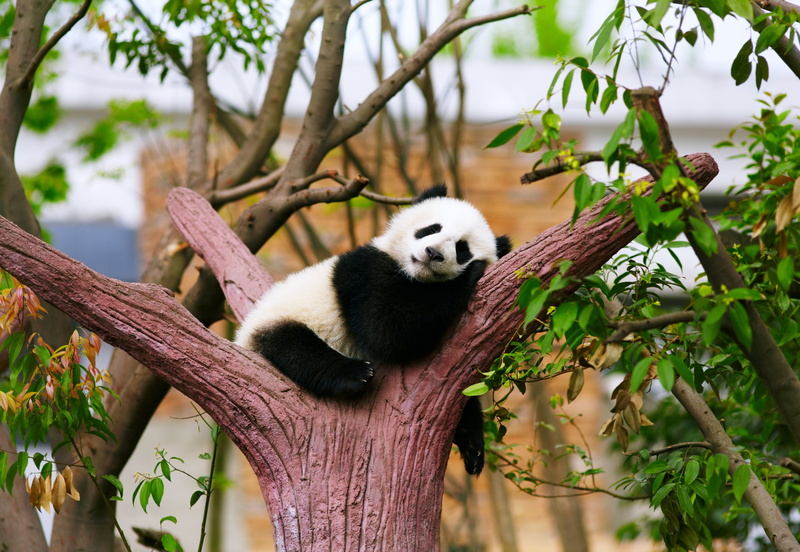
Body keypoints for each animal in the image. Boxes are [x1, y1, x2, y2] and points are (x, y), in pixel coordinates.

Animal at [235, 185, 512, 474]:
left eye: (461, 248)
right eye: (431, 228)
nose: (433, 252)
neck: (414, 275)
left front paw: (472, 443)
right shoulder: (365, 272)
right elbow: (386, 330)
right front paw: (470, 275)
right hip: (279, 320)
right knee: (295, 347)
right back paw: (354, 374)